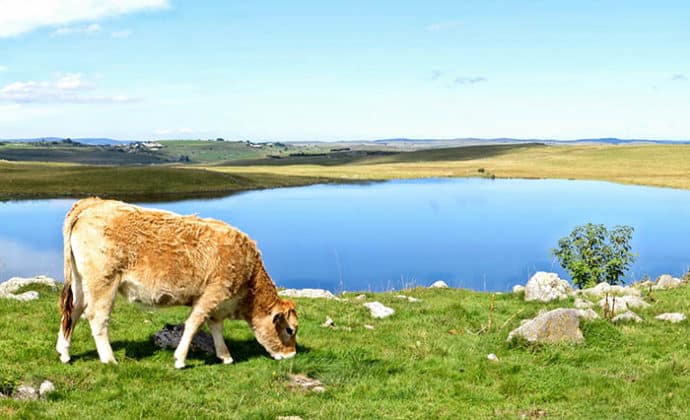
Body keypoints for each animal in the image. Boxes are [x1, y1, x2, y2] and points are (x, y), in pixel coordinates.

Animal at [56, 197, 298, 369]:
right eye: (290, 330)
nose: (292, 355)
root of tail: (93, 202)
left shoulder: (217, 302)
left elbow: (215, 327)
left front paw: (225, 356)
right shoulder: (213, 293)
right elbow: (194, 324)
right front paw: (180, 359)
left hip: (80, 282)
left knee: (73, 312)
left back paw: (64, 352)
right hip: (103, 282)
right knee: (97, 318)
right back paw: (109, 360)